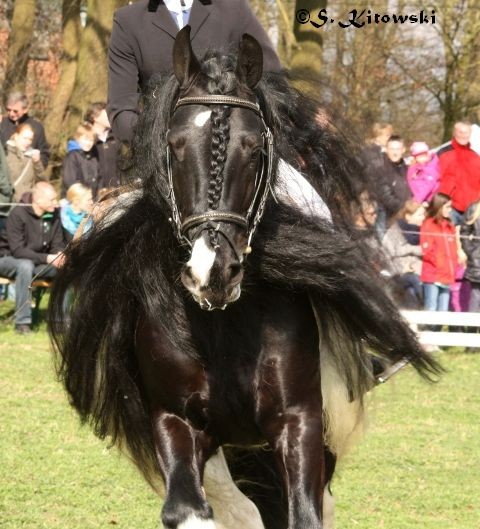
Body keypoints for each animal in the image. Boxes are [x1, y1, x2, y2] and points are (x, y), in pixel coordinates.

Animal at [47, 27, 438, 528]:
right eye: (174, 144)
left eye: (254, 147)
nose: (212, 271)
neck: (222, 324)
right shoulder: (176, 422)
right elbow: (201, 509)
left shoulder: (300, 419)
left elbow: (303, 512)